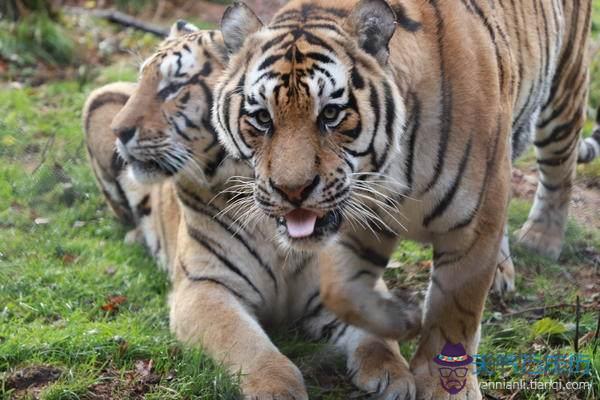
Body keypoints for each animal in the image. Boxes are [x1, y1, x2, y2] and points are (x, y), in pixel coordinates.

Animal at [214, 0, 596, 400]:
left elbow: (454, 313)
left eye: (331, 114)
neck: (388, 174)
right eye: (262, 118)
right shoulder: (359, 224)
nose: (291, 192)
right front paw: (401, 322)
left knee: (560, 169)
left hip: (563, 95)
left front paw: (447, 387)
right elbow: (343, 292)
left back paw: (541, 240)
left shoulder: (473, 223)